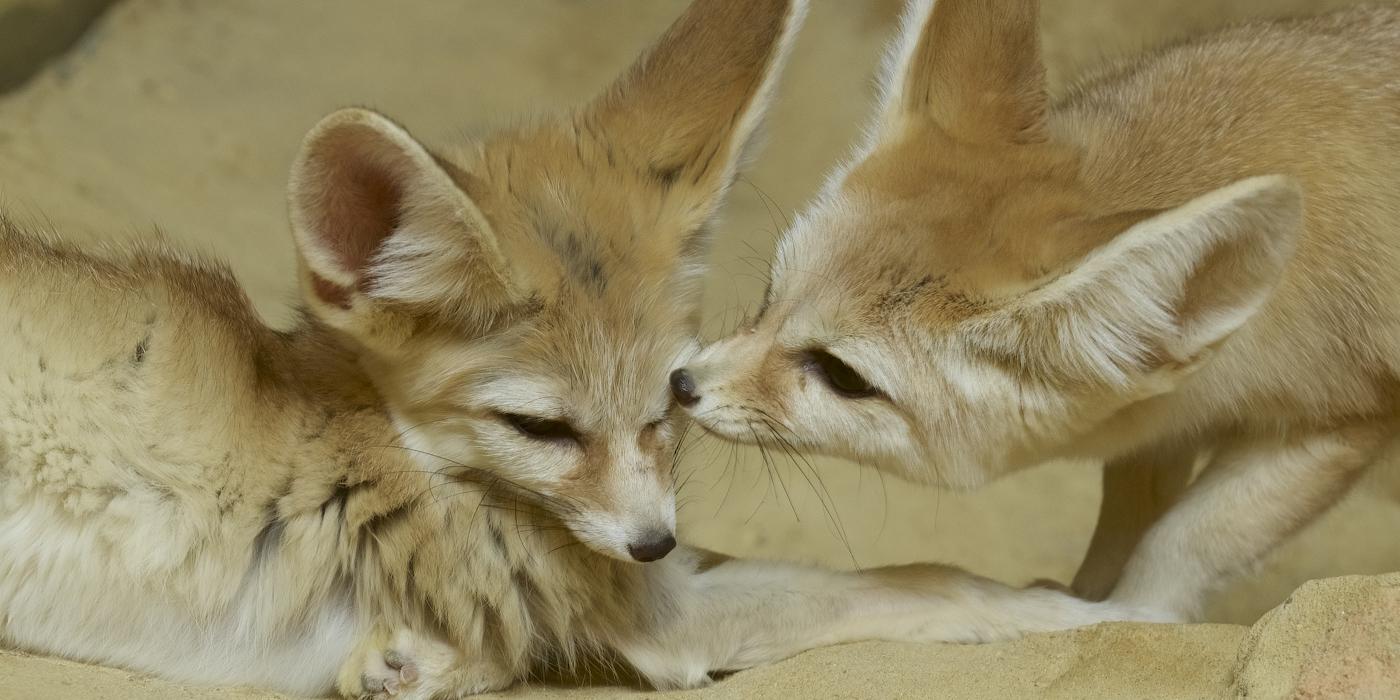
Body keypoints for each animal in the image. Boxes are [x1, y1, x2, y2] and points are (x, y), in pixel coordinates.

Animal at [0, 1, 1148, 700]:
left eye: (671, 401)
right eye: (539, 427)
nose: (649, 539)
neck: (381, 432)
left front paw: (412, 663)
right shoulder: (658, 617)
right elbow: (915, 578)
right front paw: (1059, 607)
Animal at [672, 0, 1400, 624]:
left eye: (843, 376)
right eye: (771, 290)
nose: (682, 383)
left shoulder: (1341, 422)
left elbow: (1186, 535)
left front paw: (1132, 617)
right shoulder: (1158, 420)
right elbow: (1128, 519)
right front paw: (1082, 600)